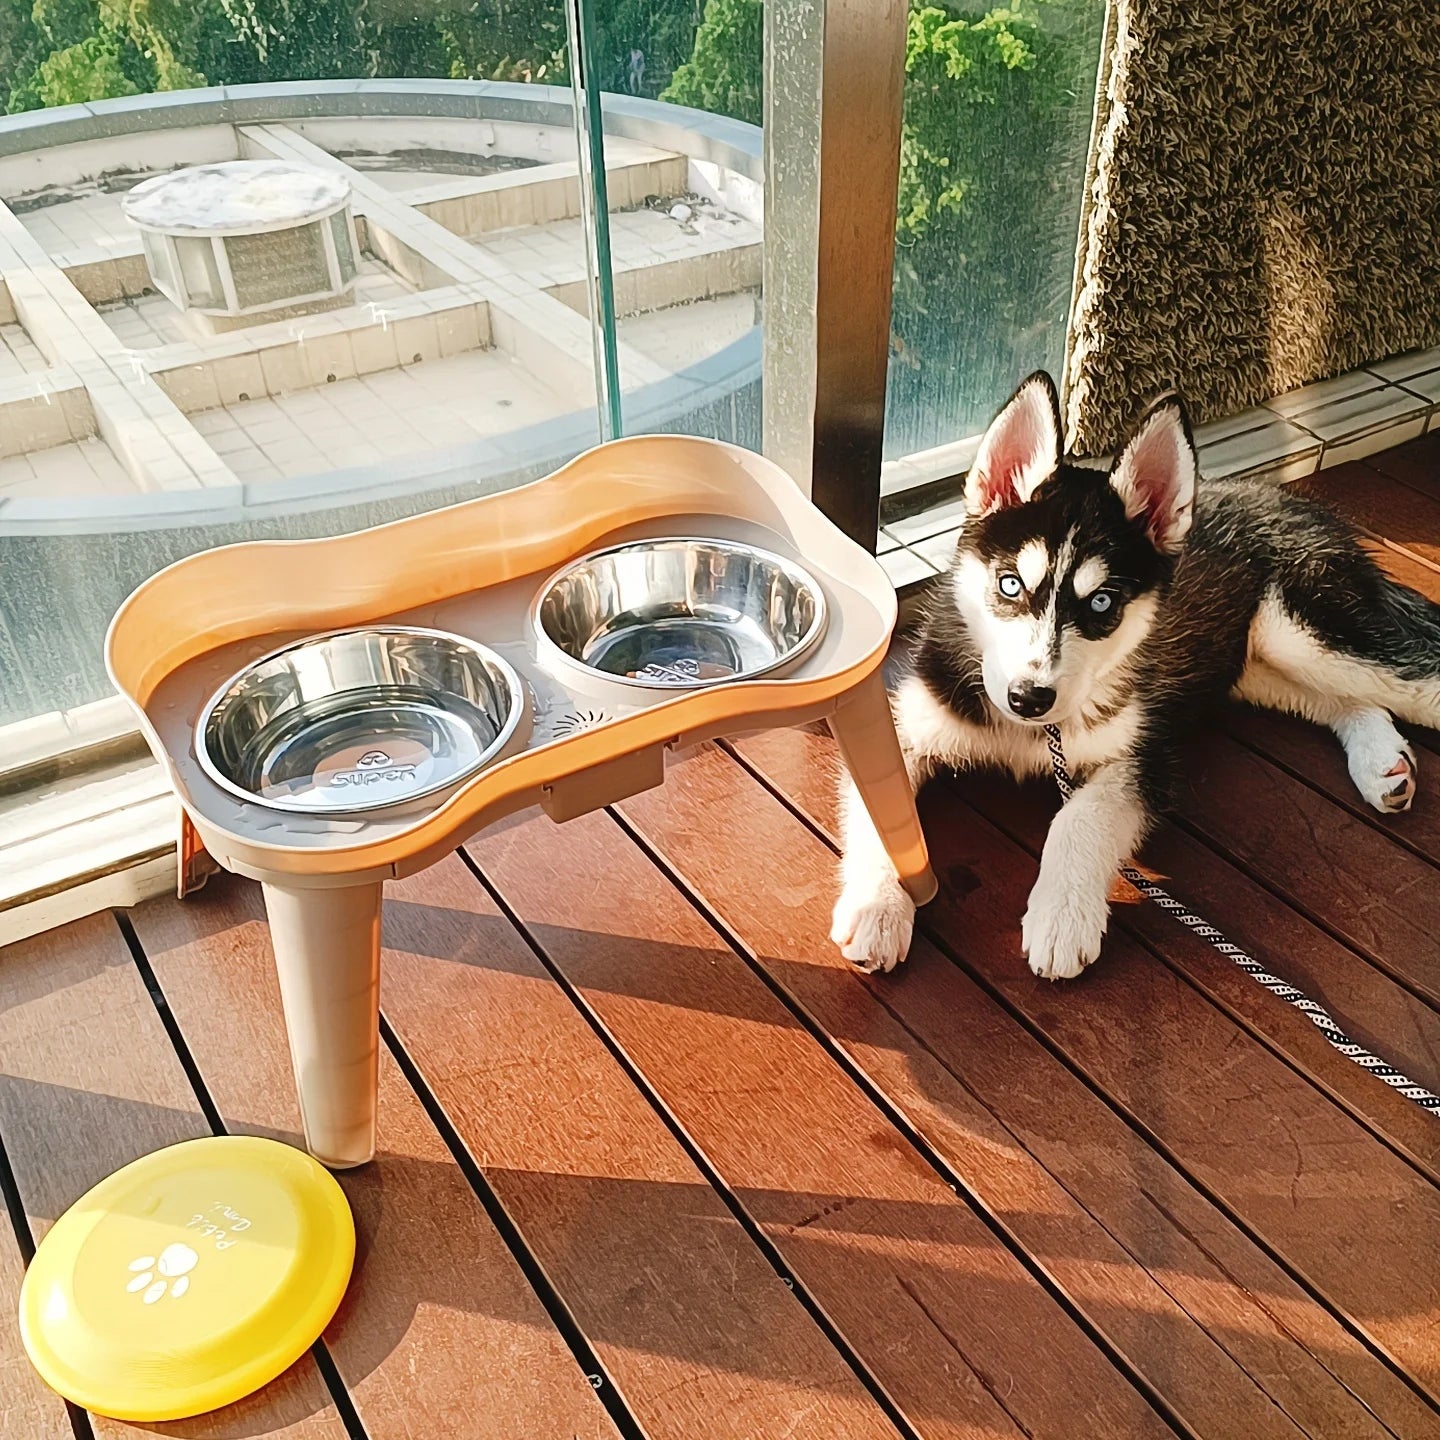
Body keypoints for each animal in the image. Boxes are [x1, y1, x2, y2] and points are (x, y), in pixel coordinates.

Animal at [835, 371, 1440, 979]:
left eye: (1102, 603)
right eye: (1010, 585)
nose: (1029, 698)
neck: (1033, 733)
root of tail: (1291, 501)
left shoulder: (1144, 757)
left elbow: (1079, 817)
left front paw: (1062, 916)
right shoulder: (909, 727)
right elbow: (883, 813)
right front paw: (878, 910)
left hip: (1298, 629)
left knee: (1412, 678)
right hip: (1255, 662)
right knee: (1349, 697)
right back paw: (1382, 762)